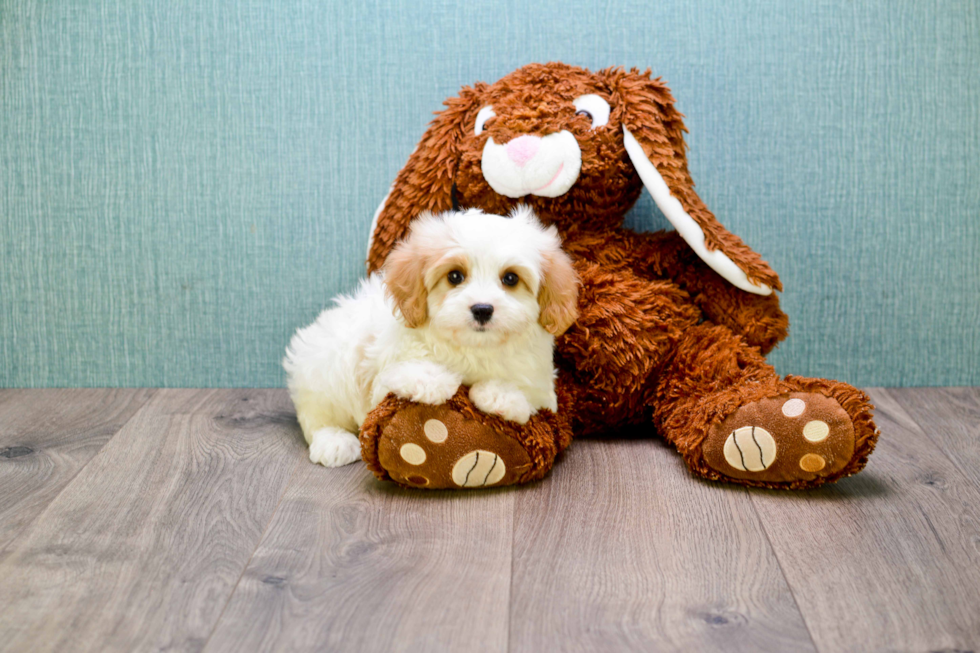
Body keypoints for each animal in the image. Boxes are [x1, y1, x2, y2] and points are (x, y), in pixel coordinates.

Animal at [280, 206, 580, 466]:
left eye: (510, 279)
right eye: (455, 276)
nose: (482, 309)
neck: (474, 348)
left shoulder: (541, 385)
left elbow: (530, 395)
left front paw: (500, 395)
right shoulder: (383, 376)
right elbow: (398, 373)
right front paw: (431, 380)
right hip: (326, 369)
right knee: (317, 416)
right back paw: (334, 441)